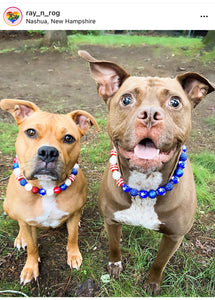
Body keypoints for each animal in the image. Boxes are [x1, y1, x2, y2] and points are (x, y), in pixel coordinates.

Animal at [0, 99, 99, 284]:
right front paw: (30, 268)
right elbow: (32, 247)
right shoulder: (26, 222)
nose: (48, 152)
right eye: (31, 132)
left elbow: (72, 236)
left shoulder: (74, 214)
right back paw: (20, 237)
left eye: (68, 138)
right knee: (19, 224)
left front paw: (73, 255)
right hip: (7, 207)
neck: (47, 188)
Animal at [79, 51, 215, 296]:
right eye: (126, 99)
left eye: (175, 102)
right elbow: (114, 246)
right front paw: (115, 265)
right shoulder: (112, 221)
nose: (150, 114)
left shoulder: (174, 236)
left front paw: (152, 282)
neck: (144, 186)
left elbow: (160, 262)